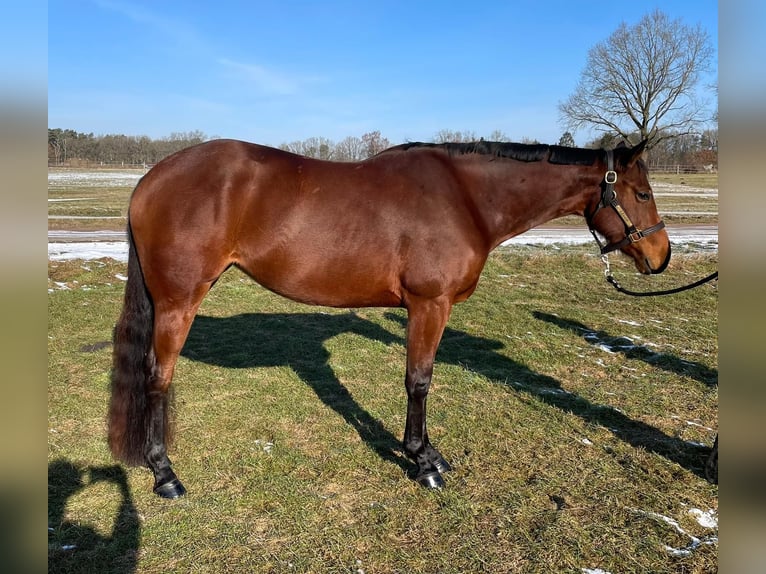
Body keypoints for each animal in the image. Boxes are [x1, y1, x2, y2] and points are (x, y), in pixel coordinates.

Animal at [108, 138, 670, 498]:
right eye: (642, 193)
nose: (661, 256)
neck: (465, 198)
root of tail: (150, 179)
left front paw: (427, 454)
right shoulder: (429, 305)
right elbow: (419, 381)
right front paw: (422, 461)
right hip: (178, 303)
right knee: (157, 378)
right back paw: (165, 475)